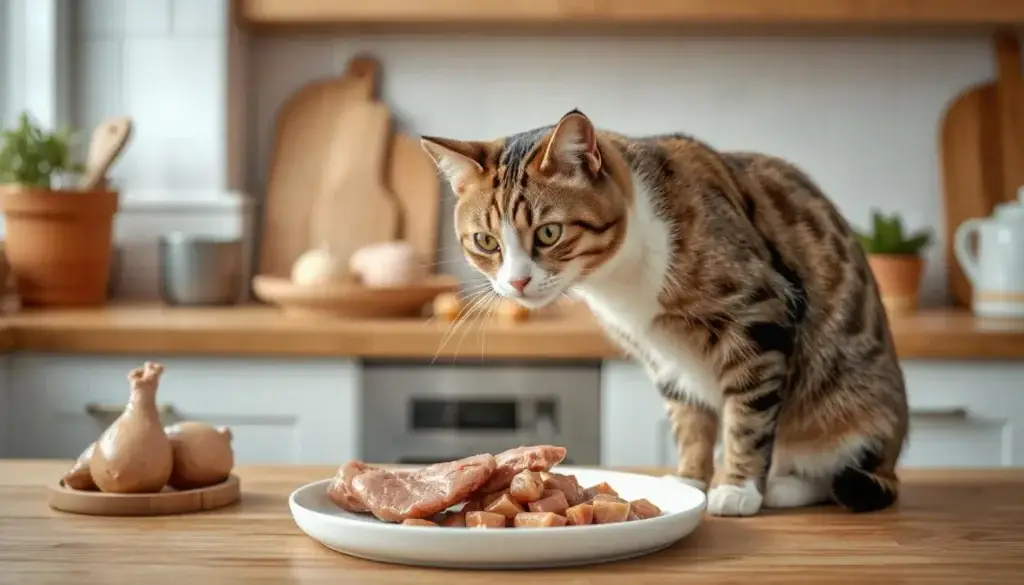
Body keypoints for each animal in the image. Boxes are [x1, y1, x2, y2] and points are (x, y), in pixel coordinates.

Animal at [419, 109, 909, 516]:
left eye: (549, 232)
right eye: (486, 242)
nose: (517, 282)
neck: (620, 281)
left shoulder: (759, 312)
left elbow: (747, 415)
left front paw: (737, 486)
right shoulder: (663, 355)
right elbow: (689, 418)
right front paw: (691, 478)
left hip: (851, 404)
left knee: (838, 468)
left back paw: (784, 486)